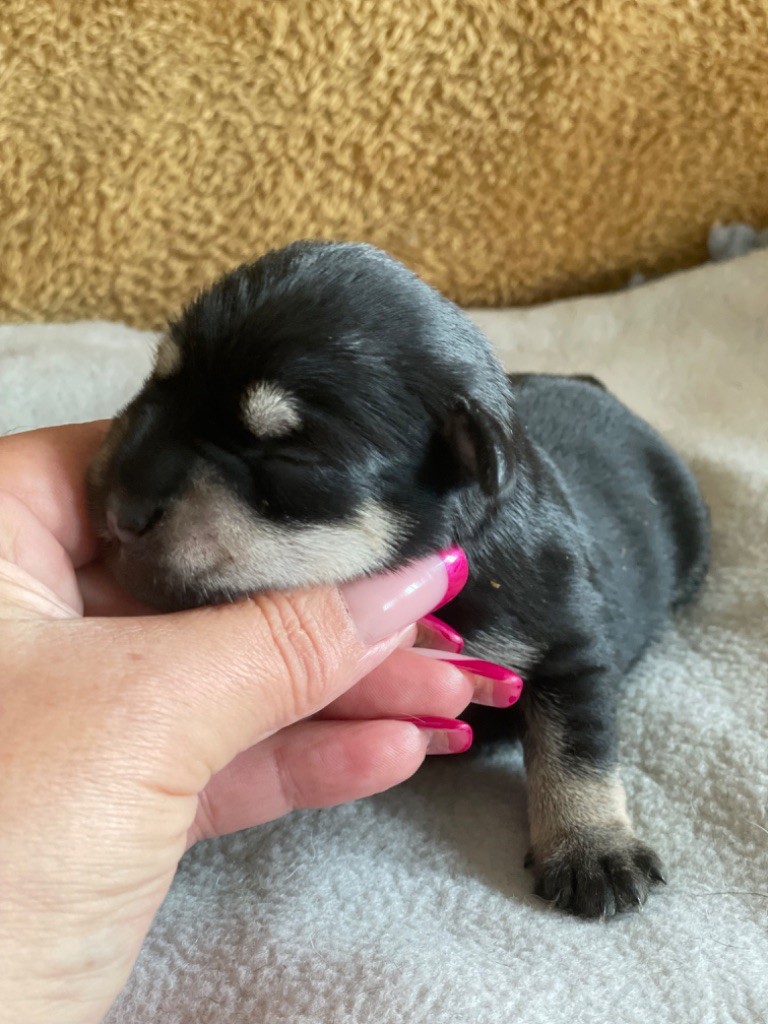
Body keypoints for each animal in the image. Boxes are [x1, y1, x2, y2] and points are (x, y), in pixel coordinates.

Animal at [88, 239, 708, 921]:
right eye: (155, 382)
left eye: (288, 454)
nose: (119, 508)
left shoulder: (571, 646)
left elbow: (576, 748)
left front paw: (591, 848)